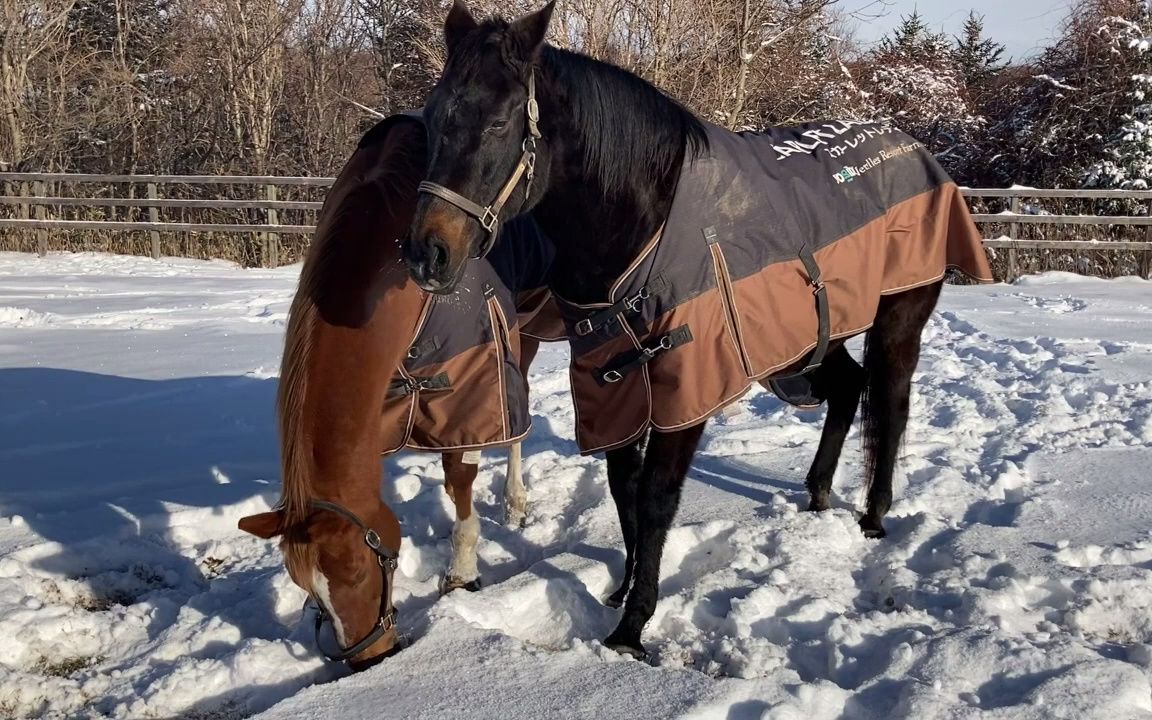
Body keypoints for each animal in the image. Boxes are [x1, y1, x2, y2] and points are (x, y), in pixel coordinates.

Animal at [236, 112, 555, 668]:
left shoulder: (468, 380)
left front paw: (462, 571)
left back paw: (515, 499)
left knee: (517, 421)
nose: (370, 657)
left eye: (356, 569)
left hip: (520, 331)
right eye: (307, 588)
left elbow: (461, 476)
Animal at [403, 0, 990, 658]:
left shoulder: (687, 383)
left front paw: (631, 629)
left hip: (897, 319)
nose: (427, 253)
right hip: (814, 336)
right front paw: (622, 591)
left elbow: (656, 498)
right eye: (433, 116)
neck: (643, 218)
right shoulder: (611, 380)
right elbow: (624, 488)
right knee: (847, 390)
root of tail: (916, 149)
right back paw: (816, 496)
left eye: (502, 122)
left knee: (889, 402)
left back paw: (873, 518)